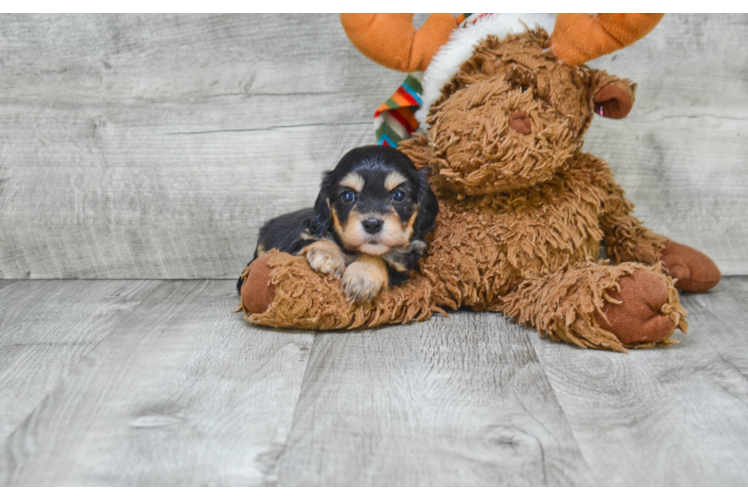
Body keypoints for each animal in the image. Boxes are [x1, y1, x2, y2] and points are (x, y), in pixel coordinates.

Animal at [237, 144, 438, 300]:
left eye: (398, 195)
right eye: (348, 196)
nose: (372, 224)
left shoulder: (402, 269)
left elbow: (380, 259)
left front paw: (362, 275)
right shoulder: (297, 243)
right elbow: (315, 240)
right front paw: (328, 255)